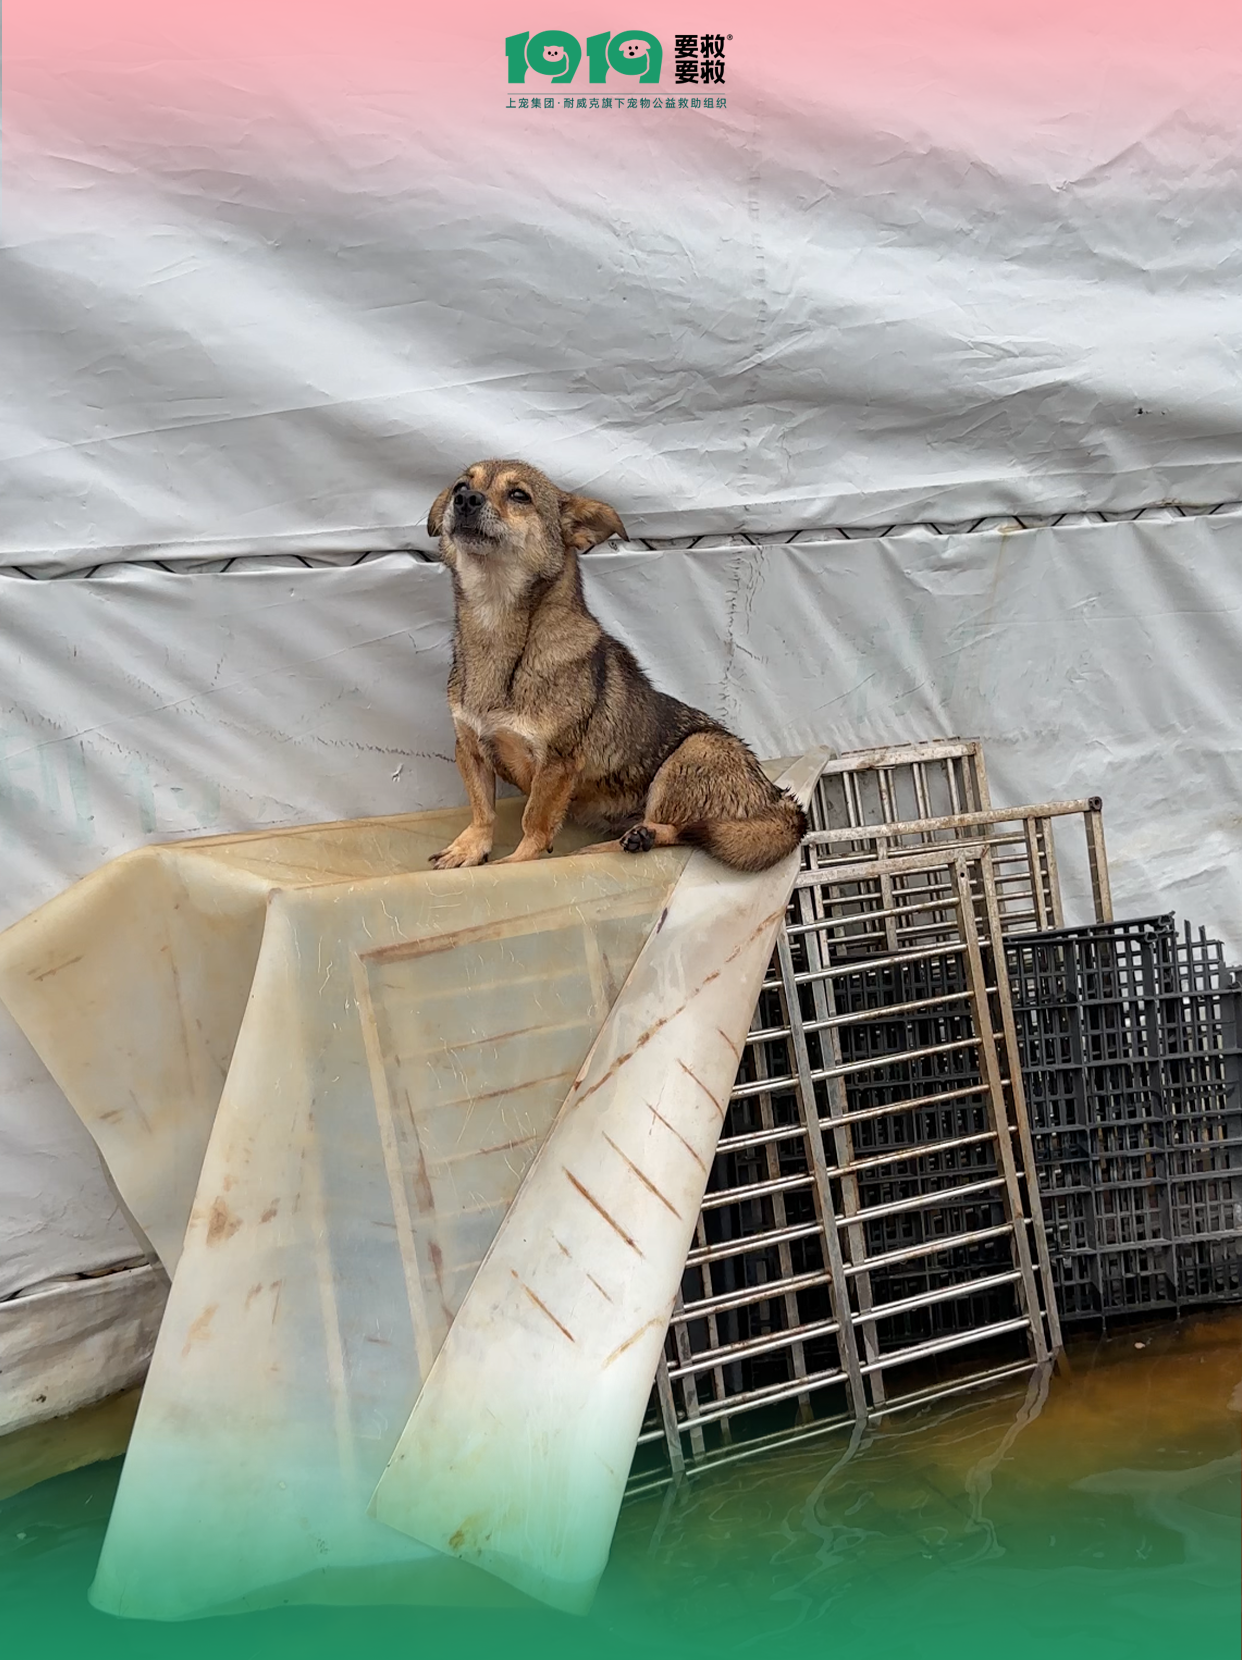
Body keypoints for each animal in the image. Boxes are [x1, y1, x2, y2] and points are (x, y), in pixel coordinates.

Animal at [426, 459, 808, 873]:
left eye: (519, 495)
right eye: (461, 486)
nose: (465, 499)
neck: (496, 627)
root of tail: (779, 801)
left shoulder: (556, 764)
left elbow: (535, 823)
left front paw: (517, 862)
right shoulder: (469, 747)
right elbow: (483, 810)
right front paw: (469, 848)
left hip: (695, 751)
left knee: (684, 829)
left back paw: (620, 843)